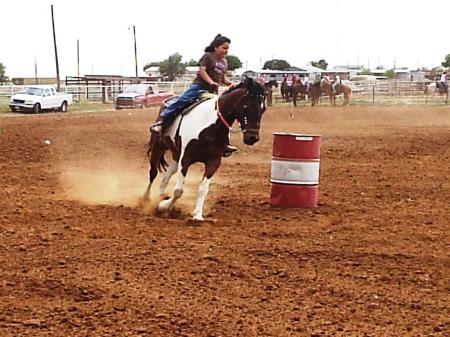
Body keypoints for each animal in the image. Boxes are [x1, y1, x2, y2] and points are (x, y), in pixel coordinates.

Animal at [142, 78, 266, 222]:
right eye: (247, 106)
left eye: (263, 109)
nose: (253, 138)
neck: (210, 126)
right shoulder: (186, 158)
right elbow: (178, 191)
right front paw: (163, 207)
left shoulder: (214, 161)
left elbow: (203, 189)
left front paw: (197, 215)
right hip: (159, 147)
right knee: (153, 173)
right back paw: (146, 199)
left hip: (176, 156)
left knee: (164, 179)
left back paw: (159, 198)